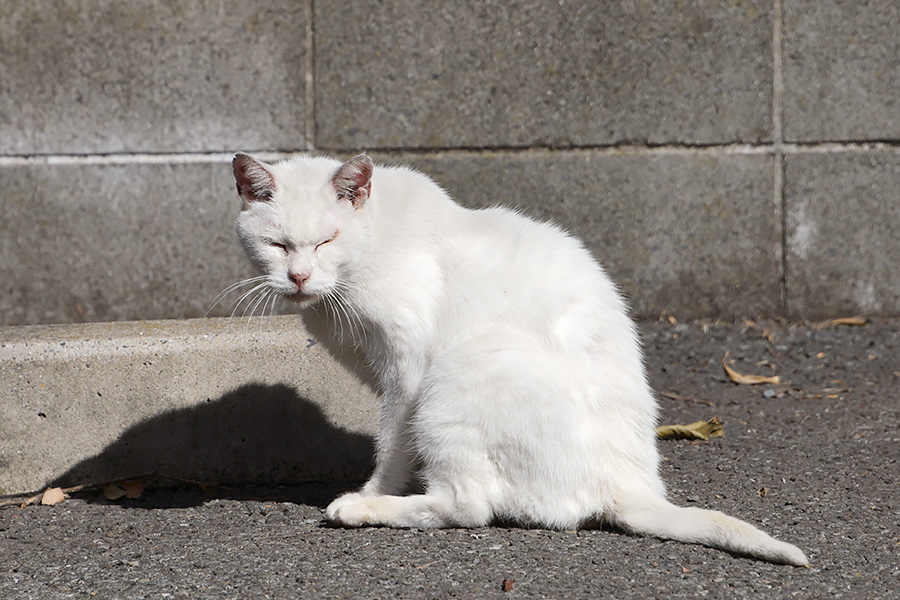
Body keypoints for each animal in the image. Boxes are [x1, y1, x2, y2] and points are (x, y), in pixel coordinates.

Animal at [232, 152, 808, 564]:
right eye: (277, 245)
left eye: (326, 240)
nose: (298, 277)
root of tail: (631, 487)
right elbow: (398, 444)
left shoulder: (407, 370)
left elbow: (392, 443)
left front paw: (376, 488)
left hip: (458, 374)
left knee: (468, 507)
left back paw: (361, 509)